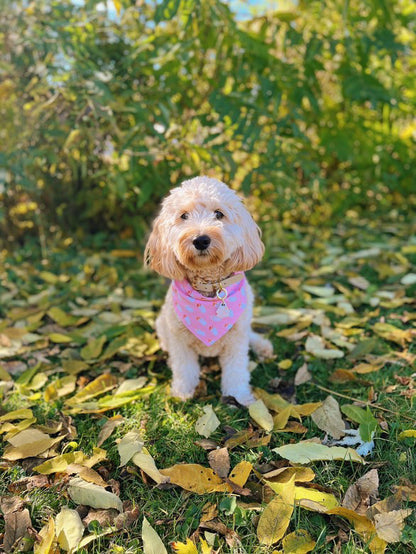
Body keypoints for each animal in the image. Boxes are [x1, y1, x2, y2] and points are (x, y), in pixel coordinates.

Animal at [145, 177, 274, 406]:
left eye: (219, 214)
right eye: (184, 216)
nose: (201, 240)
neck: (210, 286)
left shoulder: (236, 339)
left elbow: (236, 371)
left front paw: (237, 396)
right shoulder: (180, 340)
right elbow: (185, 369)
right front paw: (183, 392)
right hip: (163, 325)